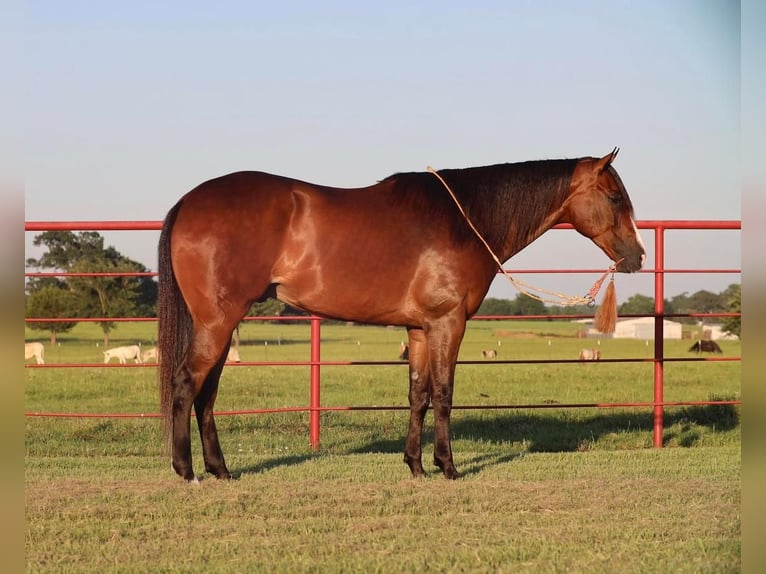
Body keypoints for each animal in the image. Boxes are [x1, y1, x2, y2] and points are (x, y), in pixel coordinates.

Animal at [158, 147, 648, 482]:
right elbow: (445, 394)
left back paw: (220, 469)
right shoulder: (449, 323)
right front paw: (447, 466)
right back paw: (187, 471)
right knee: (187, 384)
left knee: (206, 393)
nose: (638, 256)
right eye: (613, 196)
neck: (465, 220)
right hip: (218, 323)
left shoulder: (419, 329)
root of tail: (188, 201)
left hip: (221, 326)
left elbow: (419, 395)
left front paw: (415, 465)